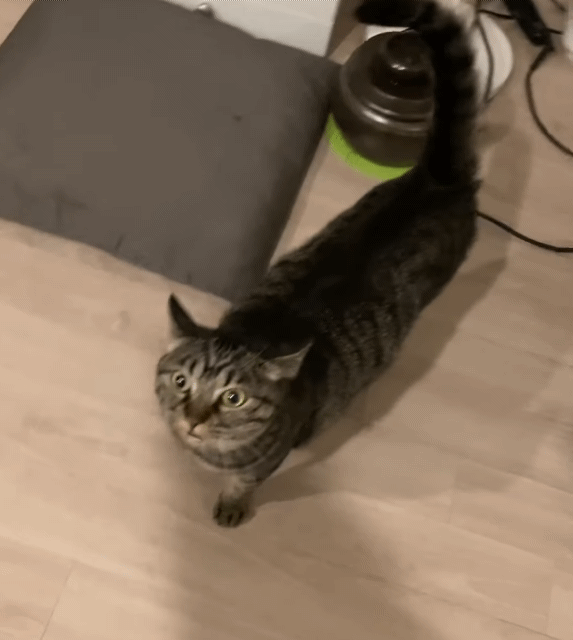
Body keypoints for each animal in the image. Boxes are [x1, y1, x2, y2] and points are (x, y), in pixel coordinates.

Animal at [155, 0, 480, 527]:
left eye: (233, 397)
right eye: (182, 381)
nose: (192, 418)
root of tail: (439, 180)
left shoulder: (267, 459)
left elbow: (245, 481)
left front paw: (231, 503)